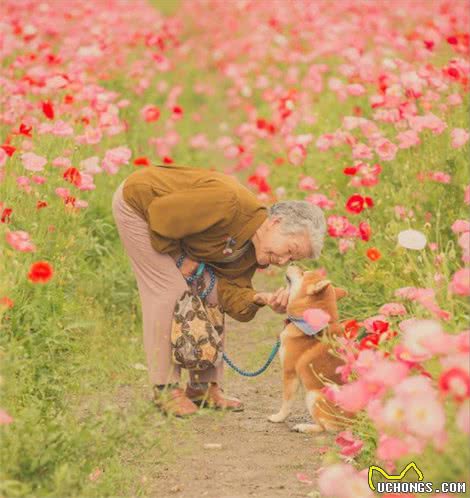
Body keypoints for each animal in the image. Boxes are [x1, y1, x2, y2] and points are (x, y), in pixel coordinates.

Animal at [268, 264, 348, 432]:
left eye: (302, 273)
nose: (292, 263)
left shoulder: (290, 373)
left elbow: (286, 402)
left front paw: (278, 418)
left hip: (314, 395)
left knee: (327, 427)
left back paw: (305, 427)